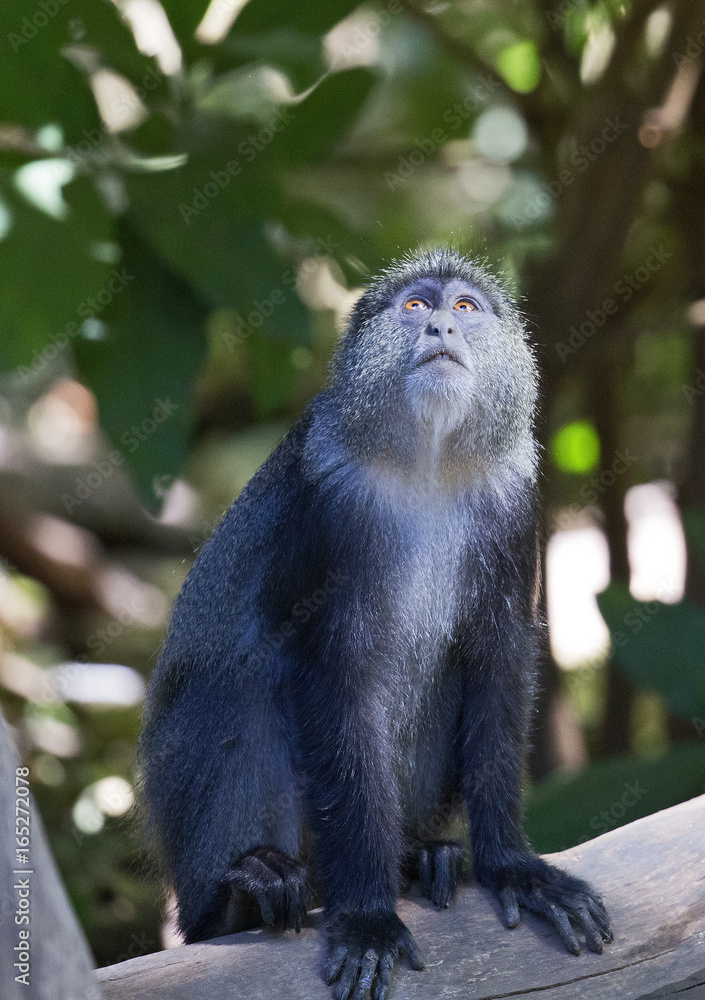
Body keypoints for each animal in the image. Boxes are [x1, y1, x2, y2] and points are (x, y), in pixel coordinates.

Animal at [138, 249, 612, 1000]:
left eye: (466, 308)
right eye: (415, 307)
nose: (442, 326)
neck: (427, 465)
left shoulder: (513, 502)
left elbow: (497, 663)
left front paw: (513, 866)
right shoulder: (331, 507)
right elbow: (335, 679)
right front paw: (367, 917)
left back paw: (426, 858)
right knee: (241, 686)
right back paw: (241, 897)